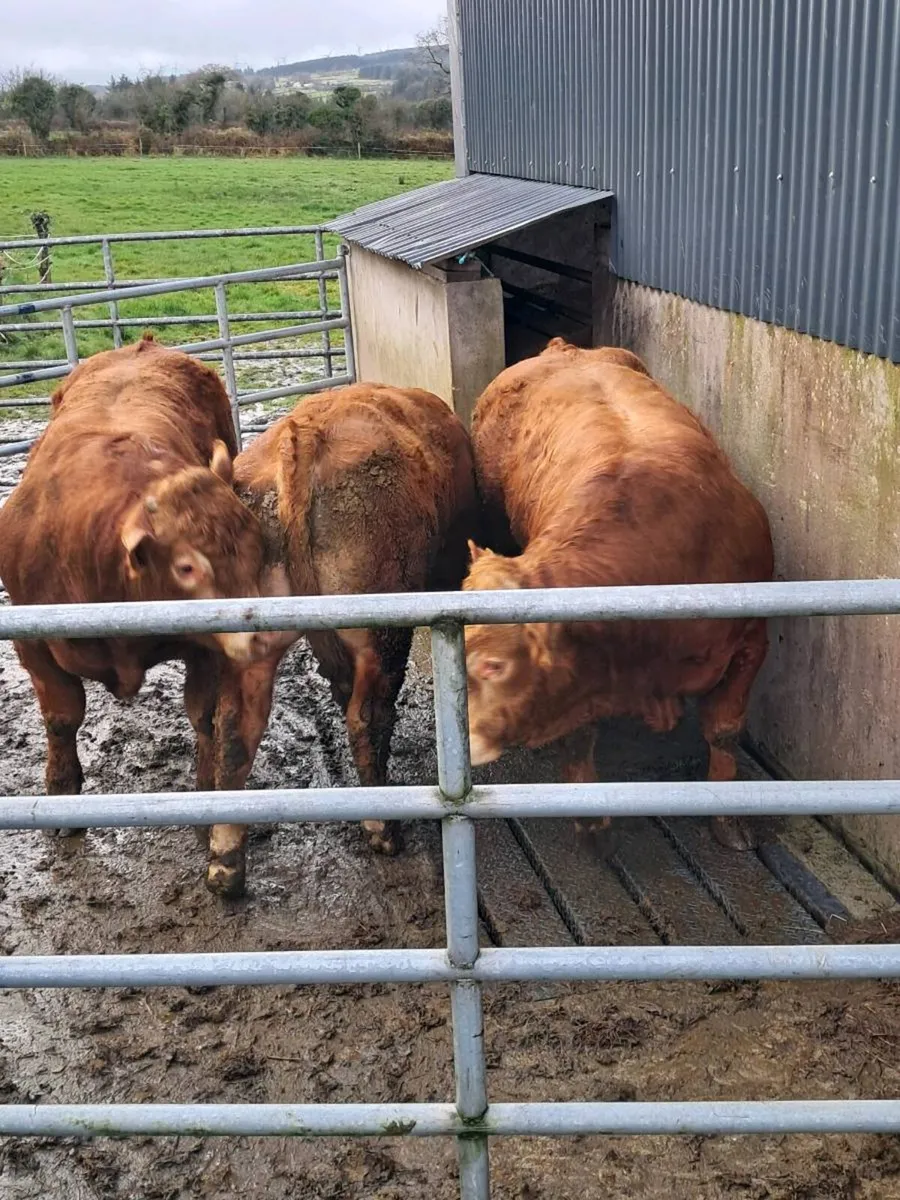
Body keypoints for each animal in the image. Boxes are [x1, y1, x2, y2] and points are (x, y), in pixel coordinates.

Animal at [0, 336, 279, 838]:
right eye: (187, 567)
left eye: (258, 545)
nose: (260, 636)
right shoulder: (31, 641)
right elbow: (61, 717)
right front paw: (62, 792)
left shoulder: (206, 646)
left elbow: (204, 716)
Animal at [197, 382, 480, 898]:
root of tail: (298, 440)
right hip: (380, 626)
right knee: (366, 717)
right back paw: (383, 829)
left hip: (253, 644)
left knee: (234, 731)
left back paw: (225, 866)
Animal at [462, 338, 774, 851]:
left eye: (494, 665)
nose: (456, 740)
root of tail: (565, 350)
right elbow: (578, 735)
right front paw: (589, 815)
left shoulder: (751, 641)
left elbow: (725, 730)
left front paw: (728, 817)